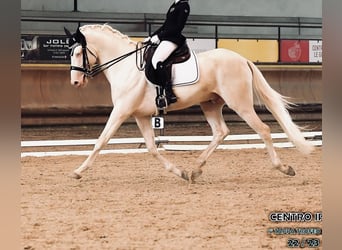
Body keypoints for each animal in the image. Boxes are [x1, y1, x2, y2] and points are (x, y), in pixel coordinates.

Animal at [63, 23, 312, 182]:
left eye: (78, 53)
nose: (75, 82)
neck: (125, 66)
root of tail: (242, 59)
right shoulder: (140, 115)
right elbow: (152, 148)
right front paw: (180, 172)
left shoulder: (121, 111)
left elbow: (101, 141)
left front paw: (78, 171)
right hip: (210, 104)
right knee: (221, 131)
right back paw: (196, 169)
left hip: (239, 103)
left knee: (263, 130)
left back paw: (284, 168)